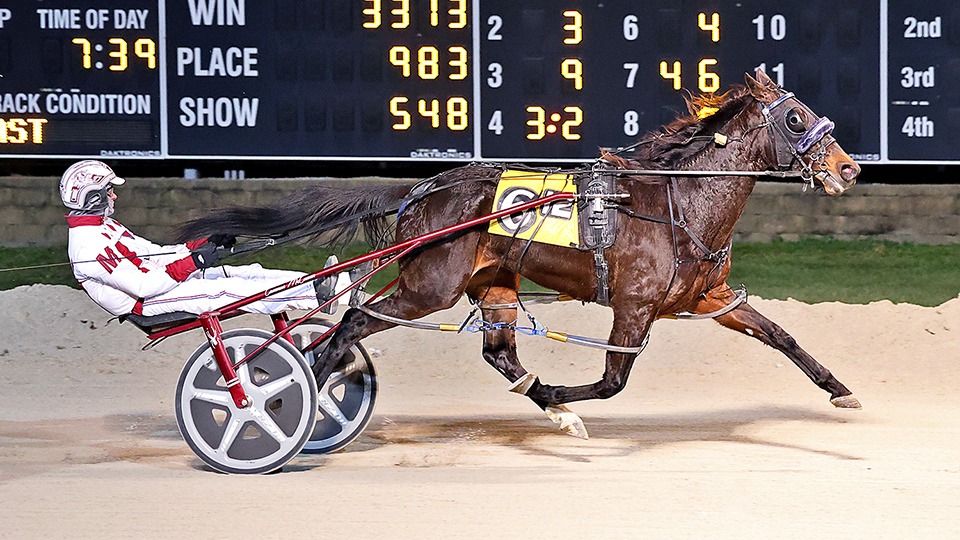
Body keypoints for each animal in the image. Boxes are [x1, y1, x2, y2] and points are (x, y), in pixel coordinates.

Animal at [179, 70, 862, 438]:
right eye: (796, 119)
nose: (849, 168)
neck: (678, 201)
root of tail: (427, 188)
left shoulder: (711, 297)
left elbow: (781, 336)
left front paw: (840, 390)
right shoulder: (635, 307)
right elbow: (613, 381)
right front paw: (563, 394)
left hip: (494, 283)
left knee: (497, 352)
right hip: (430, 285)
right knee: (350, 322)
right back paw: (299, 401)